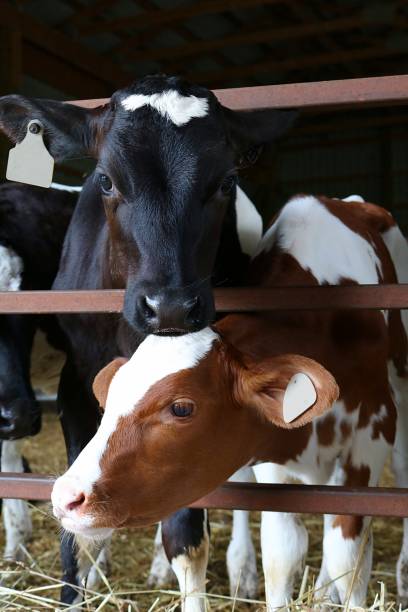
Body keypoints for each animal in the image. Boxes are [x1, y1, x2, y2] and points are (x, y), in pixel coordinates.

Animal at [54, 196, 408, 608]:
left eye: (181, 408)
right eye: (109, 402)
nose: (66, 496)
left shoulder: (371, 437)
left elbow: (347, 559)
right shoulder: (274, 459)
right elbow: (282, 552)